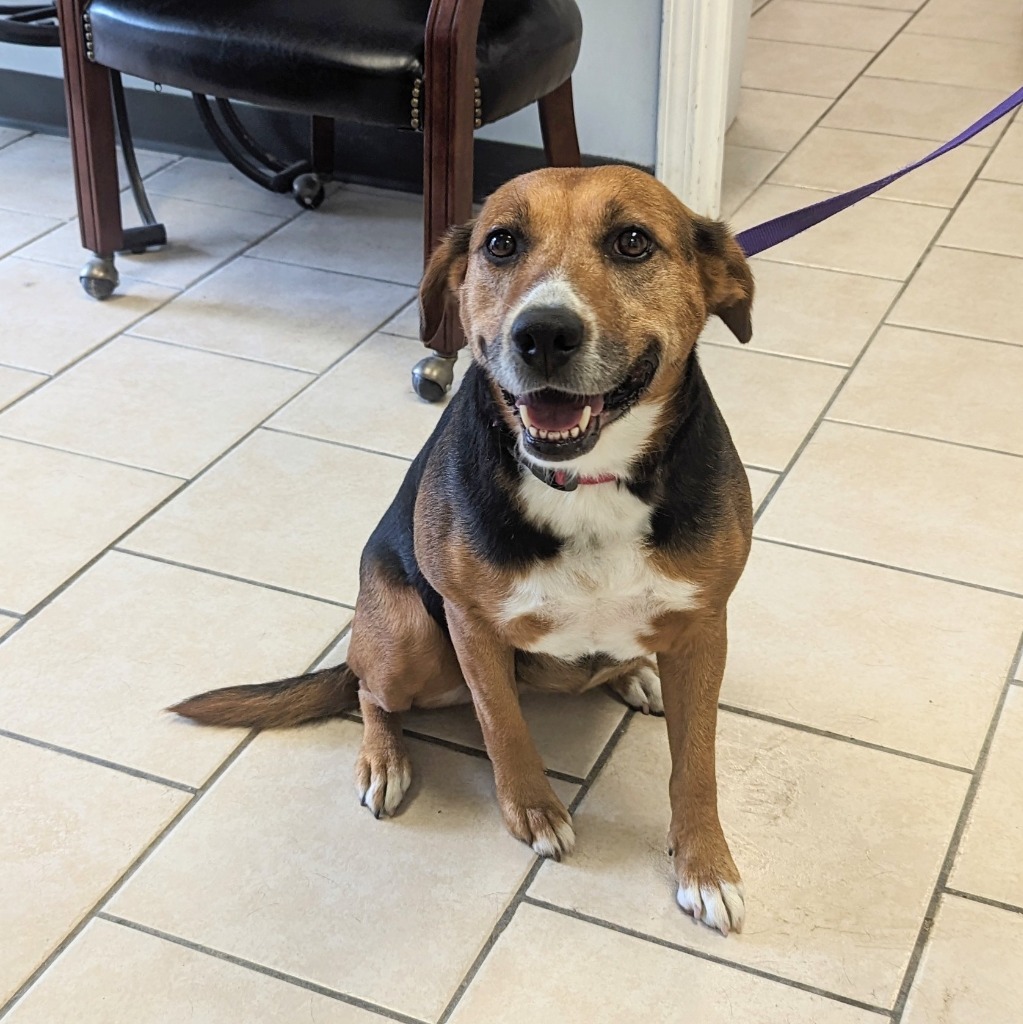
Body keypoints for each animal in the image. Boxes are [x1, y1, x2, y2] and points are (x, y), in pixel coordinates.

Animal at [172, 161, 757, 937]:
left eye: (633, 241)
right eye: (501, 243)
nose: (543, 334)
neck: (589, 481)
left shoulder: (704, 627)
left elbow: (696, 765)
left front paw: (705, 865)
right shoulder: (471, 624)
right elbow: (502, 725)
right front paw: (532, 810)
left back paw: (632, 675)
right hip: (408, 637)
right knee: (368, 691)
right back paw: (384, 760)